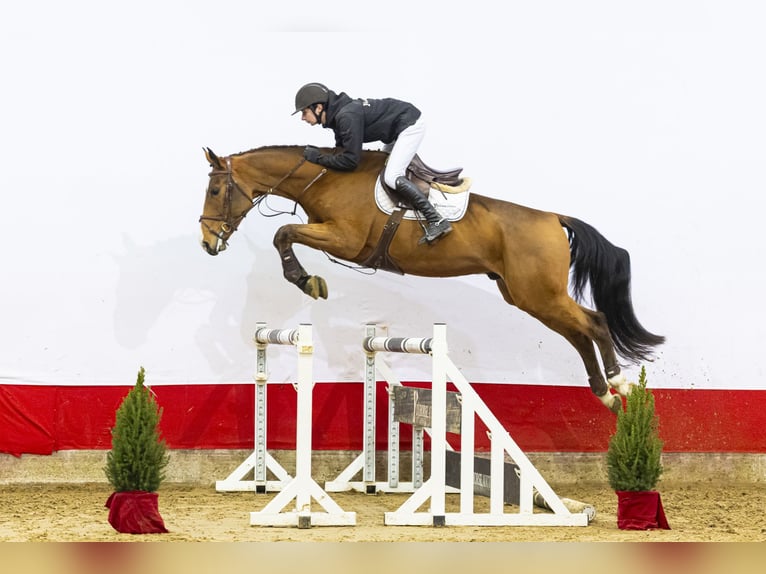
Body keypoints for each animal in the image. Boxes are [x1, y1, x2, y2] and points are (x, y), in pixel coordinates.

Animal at [199, 145, 664, 413]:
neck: (327, 177)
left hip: (539, 293)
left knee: (594, 322)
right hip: (526, 296)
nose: (207, 242)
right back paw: (604, 392)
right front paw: (307, 279)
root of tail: (554, 218)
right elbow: (285, 233)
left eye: (216, 191)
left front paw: (306, 280)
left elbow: (283, 233)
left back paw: (618, 382)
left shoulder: (346, 239)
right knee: (578, 333)